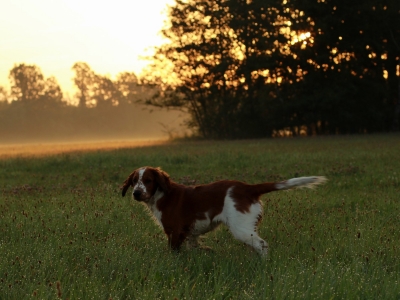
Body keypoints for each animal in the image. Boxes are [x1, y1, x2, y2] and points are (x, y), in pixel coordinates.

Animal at [121, 166, 324, 255]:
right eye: (134, 181)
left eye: (148, 180)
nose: (136, 193)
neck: (163, 195)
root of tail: (247, 188)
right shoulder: (190, 233)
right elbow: (195, 245)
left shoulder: (175, 231)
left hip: (240, 228)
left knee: (262, 245)